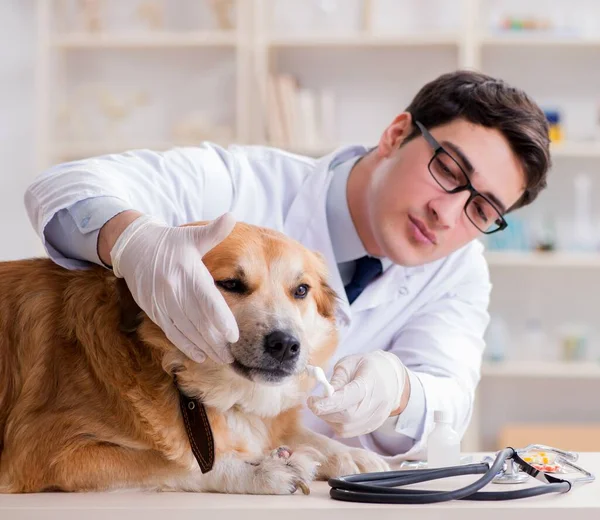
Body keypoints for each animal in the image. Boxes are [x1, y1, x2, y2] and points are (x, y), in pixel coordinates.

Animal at [1, 221, 390, 494]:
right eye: (231, 284)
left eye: (301, 290)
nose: (285, 345)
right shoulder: (45, 450)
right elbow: (177, 463)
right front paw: (257, 471)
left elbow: (298, 432)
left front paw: (348, 453)